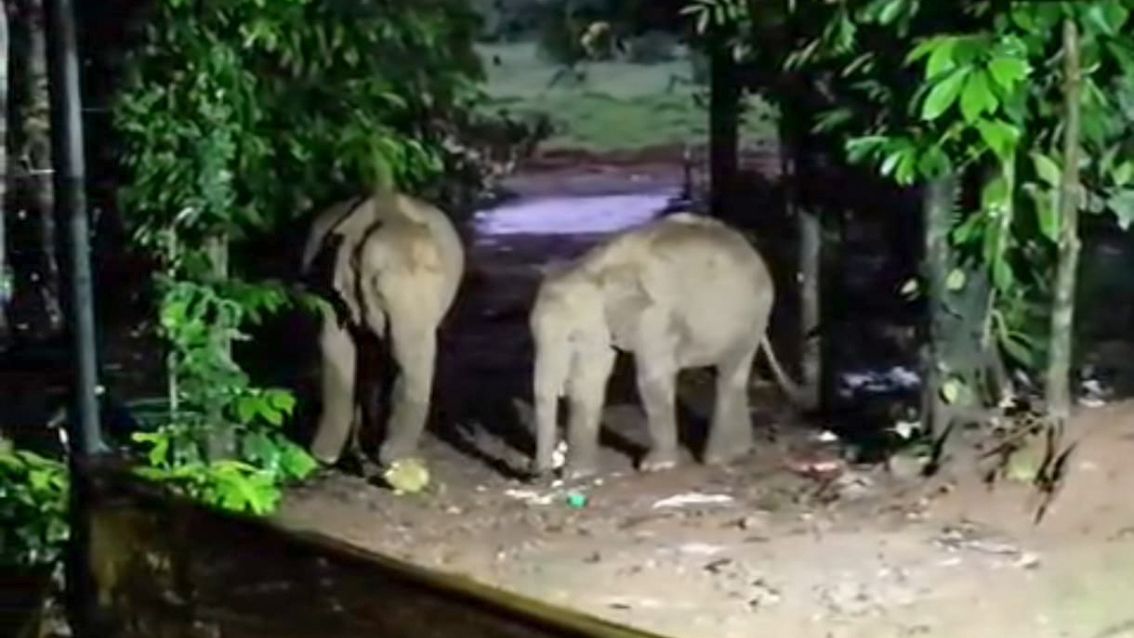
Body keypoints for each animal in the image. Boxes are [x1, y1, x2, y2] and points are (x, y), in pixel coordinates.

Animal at [301, 190, 464, 467]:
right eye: (379, 292)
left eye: (441, 286)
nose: (388, 457)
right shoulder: (327, 284)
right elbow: (336, 348)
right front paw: (326, 456)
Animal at [528, 212, 812, 479]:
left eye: (571, 337)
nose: (540, 474)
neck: (595, 268)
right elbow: (588, 383)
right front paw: (578, 474)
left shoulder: (656, 315)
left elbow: (651, 378)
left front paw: (655, 467)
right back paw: (737, 453)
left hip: (752, 314)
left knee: (729, 373)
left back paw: (716, 459)